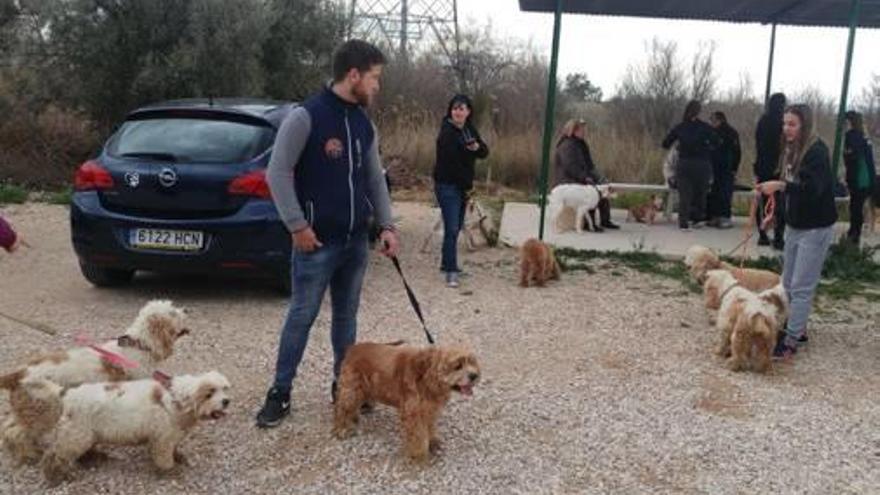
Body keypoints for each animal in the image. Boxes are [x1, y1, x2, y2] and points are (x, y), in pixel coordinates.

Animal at [0, 300, 189, 466]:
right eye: (173, 312)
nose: (187, 310)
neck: (138, 346)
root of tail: (19, 373)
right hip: (43, 413)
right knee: (15, 432)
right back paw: (28, 454)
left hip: (27, 411)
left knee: (8, 427)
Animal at [37, 370, 230, 486]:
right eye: (210, 393)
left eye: (225, 389)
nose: (227, 401)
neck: (178, 400)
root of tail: (68, 393)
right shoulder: (163, 439)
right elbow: (164, 458)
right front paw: (170, 471)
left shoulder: (171, 435)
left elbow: (174, 449)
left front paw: (179, 457)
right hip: (77, 434)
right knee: (55, 456)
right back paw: (56, 476)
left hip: (84, 433)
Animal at [332, 340, 482, 462]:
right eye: (457, 366)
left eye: (472, 362)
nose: (474, 375)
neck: (427, 374)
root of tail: (353, 348)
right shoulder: (413, 412)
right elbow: (418, 435)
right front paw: (419, 454)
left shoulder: (429, 410)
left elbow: (430, 427)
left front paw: (433, 442)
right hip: (350, 390)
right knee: (341, 408)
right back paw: (342, 429)